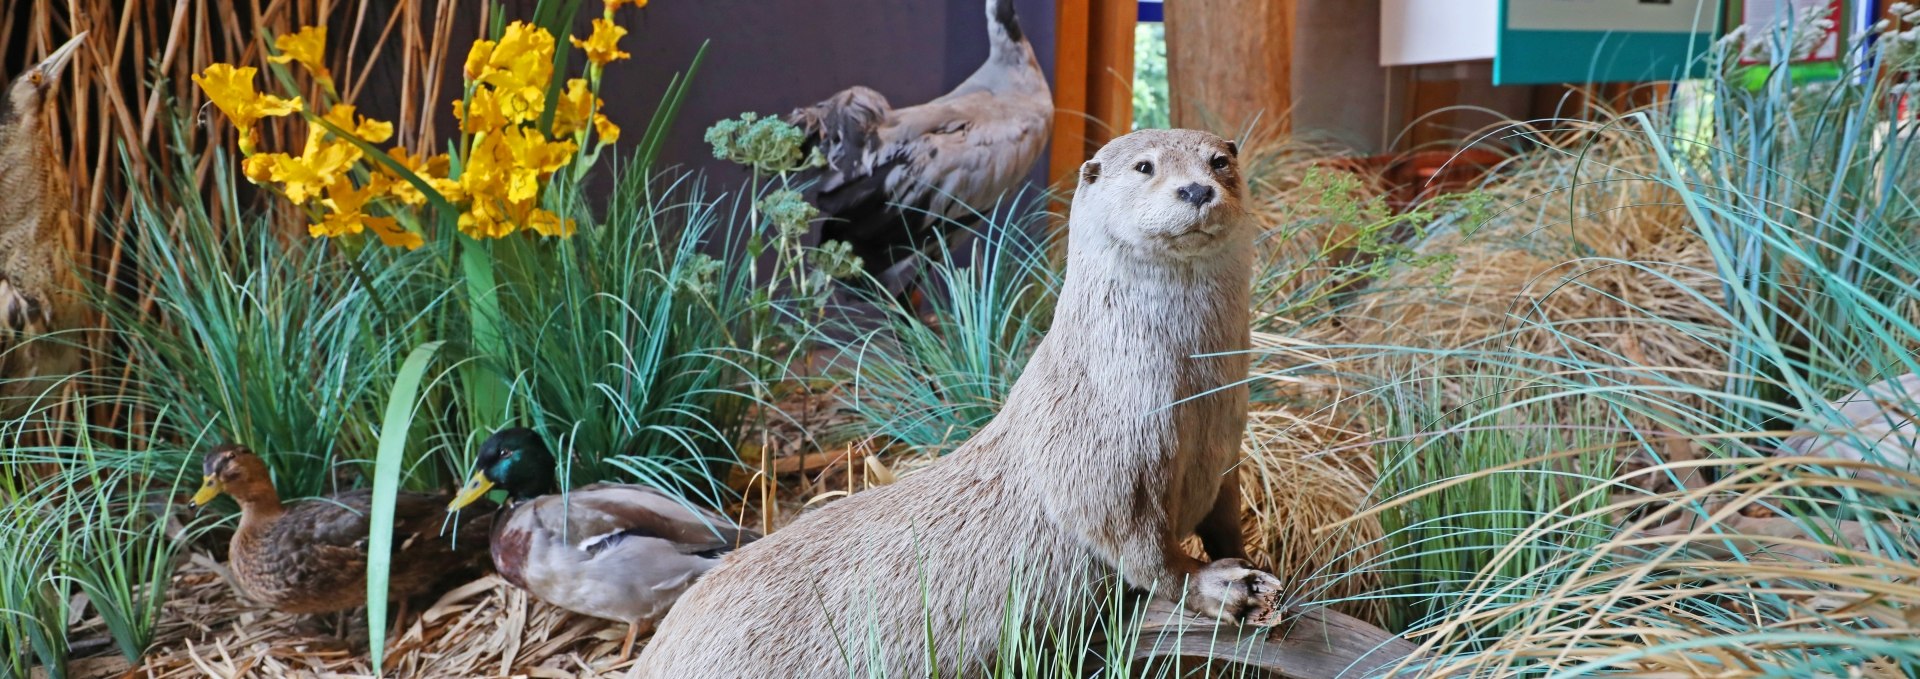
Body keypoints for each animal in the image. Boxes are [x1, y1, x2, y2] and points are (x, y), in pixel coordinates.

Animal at [637, 130, 1282, 675]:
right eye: (1145, 166)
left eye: (1219, 162)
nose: (1196, 189)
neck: (1194, 397)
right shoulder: (1095, 452)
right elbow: (1134, 543)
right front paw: (1219, 586)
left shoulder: (1227, 447)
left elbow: (1226, 515)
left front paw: (1257, 563)